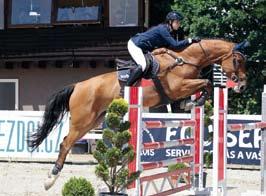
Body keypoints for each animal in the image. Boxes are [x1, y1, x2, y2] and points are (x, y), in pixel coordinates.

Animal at [27, 38, 247, 190]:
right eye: (237, 60)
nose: (243, 85)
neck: (186, 60)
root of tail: (77, 86)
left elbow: (205, 85)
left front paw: (192, 102)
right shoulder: (177, 88)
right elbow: (207, 83)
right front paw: (195, 101)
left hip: (93, 121)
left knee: (67, 141)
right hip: (82, 121)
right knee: (65, 143)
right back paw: (50, 179)